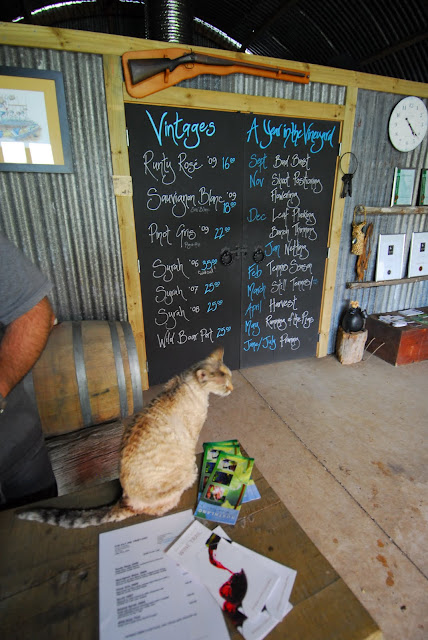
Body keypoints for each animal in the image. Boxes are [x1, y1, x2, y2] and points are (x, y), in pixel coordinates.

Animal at [18, 348, 232, 528]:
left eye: (230, 378)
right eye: (224, 384)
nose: (232, 388)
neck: (189, 385)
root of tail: (126, 500)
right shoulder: (193, 434)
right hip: (181, 476)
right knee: (157, 508)